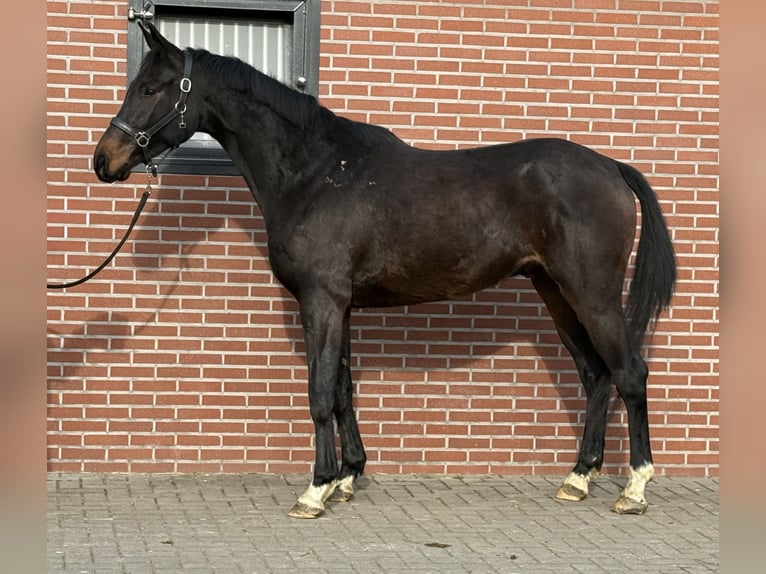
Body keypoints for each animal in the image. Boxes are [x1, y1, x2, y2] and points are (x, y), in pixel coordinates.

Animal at [94, 22, 676, 519]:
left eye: (149, 88)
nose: (104, 160)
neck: (316, 173)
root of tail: (610, 168)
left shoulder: (322, 301)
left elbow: (319, 391)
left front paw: (315, 489)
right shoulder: (341, 304)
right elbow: (343, 389)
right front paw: (347, 477)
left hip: (592, 294)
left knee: (629, 373)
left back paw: (634, 488)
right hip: (555, 292)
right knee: (595, 374)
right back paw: (578, 477)